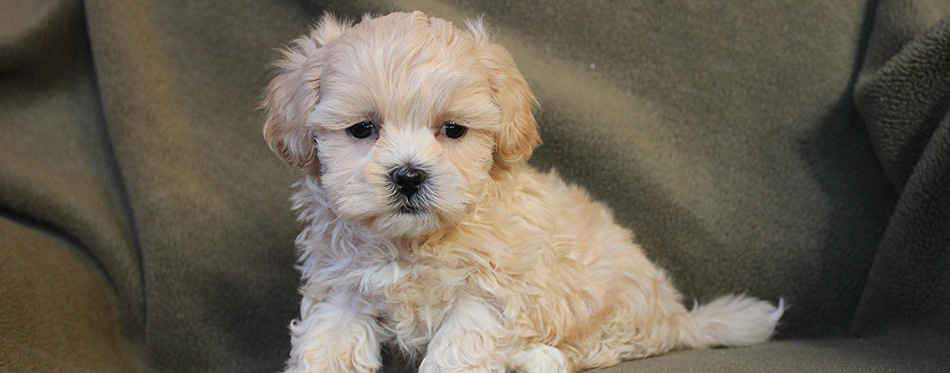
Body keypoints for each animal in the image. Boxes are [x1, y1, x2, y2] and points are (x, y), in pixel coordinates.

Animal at [264, 11, 784, 372]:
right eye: (362, 129)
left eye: (452, 130)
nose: (409, 176)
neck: (414, 242)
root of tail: (677, 317)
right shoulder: (341, 290)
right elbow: (327, 343)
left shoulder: (490, 296)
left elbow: (458, 352)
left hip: (612, 308)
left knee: (595, 348)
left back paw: (538, 358)